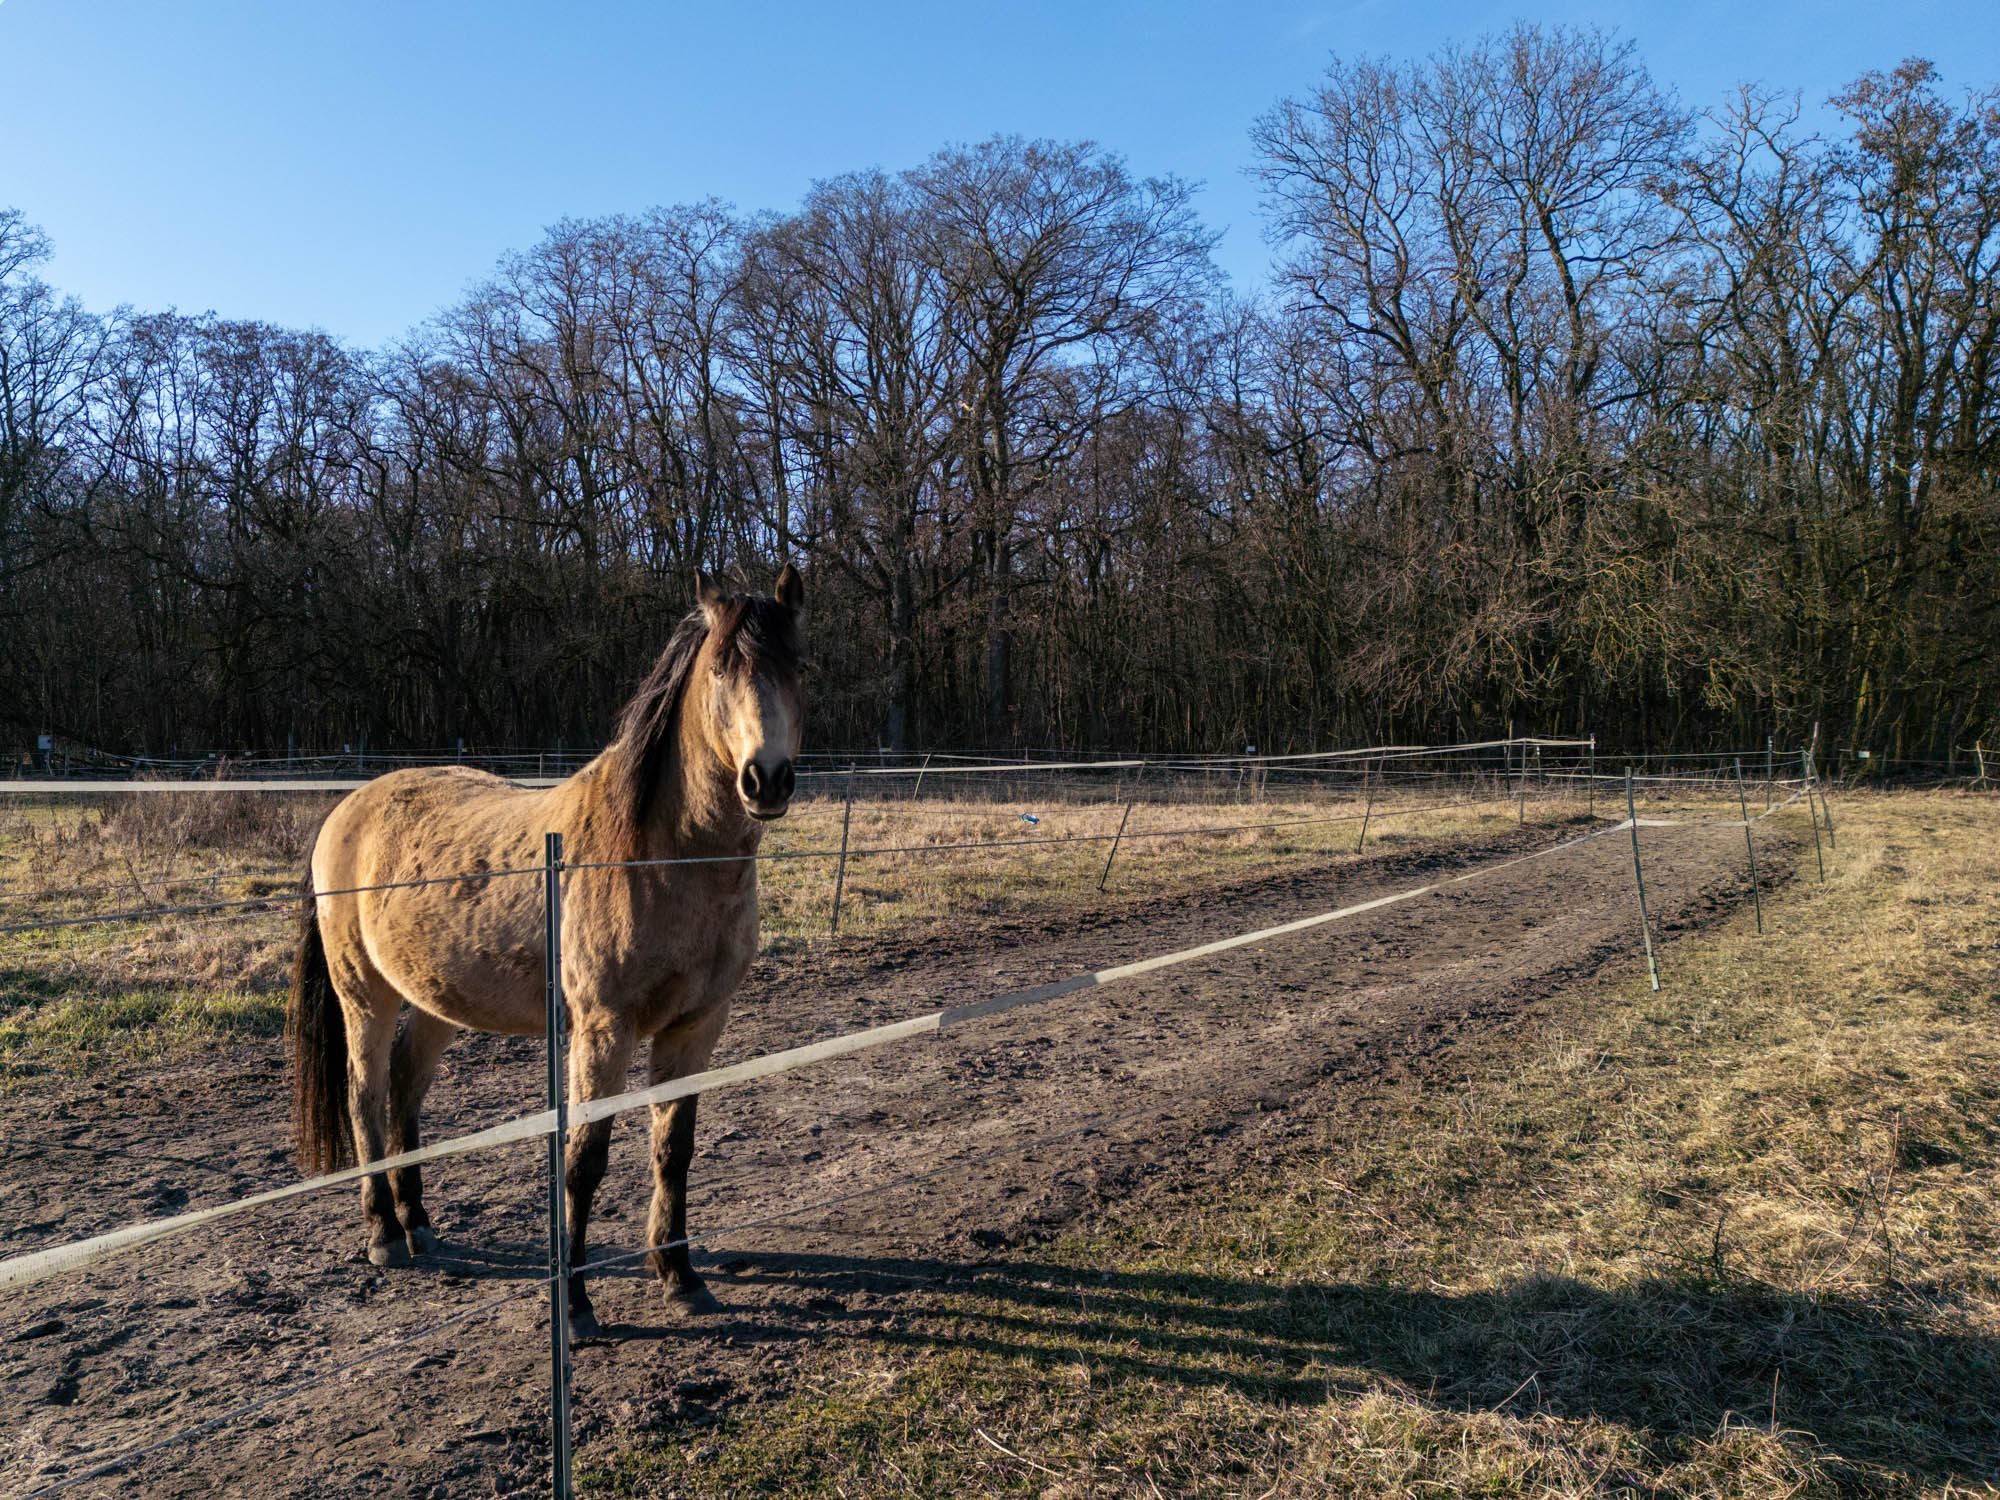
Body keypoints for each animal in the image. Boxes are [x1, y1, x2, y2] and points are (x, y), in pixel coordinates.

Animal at [288, 565, 805, 1335]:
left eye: (797, 667)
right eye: (720, 669)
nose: (766, 779)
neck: (660, 857)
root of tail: (345, 809)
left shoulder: (696, 1028)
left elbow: (674, 1149)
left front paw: (680, 1277)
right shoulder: (602, 1031)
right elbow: (584, 1161)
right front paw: (577, 1308)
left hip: (434, 1000)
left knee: (406, 1087)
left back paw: (419, 1223)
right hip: (365, 996)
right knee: (365, 1096)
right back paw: (383, 1234)